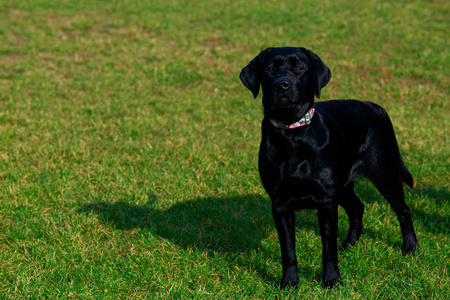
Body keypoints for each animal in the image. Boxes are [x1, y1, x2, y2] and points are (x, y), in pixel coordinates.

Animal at [241, 48, 416, 290]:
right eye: (269, 69)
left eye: (299, 68)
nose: (282, 84)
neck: (293, 135)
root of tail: (373, 105)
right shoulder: (280, 205)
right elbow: (288, 250)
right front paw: (289, 282)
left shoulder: (326, 201)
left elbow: (328, 249)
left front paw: (332, 280)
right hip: (343, 186)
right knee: (357, 207)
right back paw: (349, 244)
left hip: (384, 173)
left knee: (403, 210)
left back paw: (410, 248)